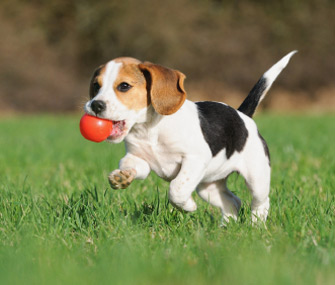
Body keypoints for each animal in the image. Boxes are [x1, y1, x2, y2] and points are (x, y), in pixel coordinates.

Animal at [85, 52, 298, 223]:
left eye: (124, 86)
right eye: (96, 86)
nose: (95, 105)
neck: (149, 129)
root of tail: (242, 115)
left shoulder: (194, 159)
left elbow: (176, 188)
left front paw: (188, 206)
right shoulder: (139, 159)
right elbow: (131, 165)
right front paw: (122, 176)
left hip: (257, 177)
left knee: (261, 202)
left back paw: (256, 225)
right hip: (208, 186)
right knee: (233, 202)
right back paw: (226, 228)